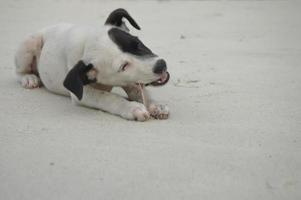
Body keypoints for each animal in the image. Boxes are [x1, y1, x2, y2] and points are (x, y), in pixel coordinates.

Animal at [14, 8, 169, 121]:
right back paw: (29, 78)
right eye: (123, 67)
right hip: (30, 42)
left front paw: (155, 105)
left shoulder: (131, 81)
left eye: (137, 43)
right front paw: (132, 108)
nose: (161, 65)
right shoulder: (83, 95)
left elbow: (141, 91)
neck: (86, 42)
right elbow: (107, 97)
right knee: (19, 72)